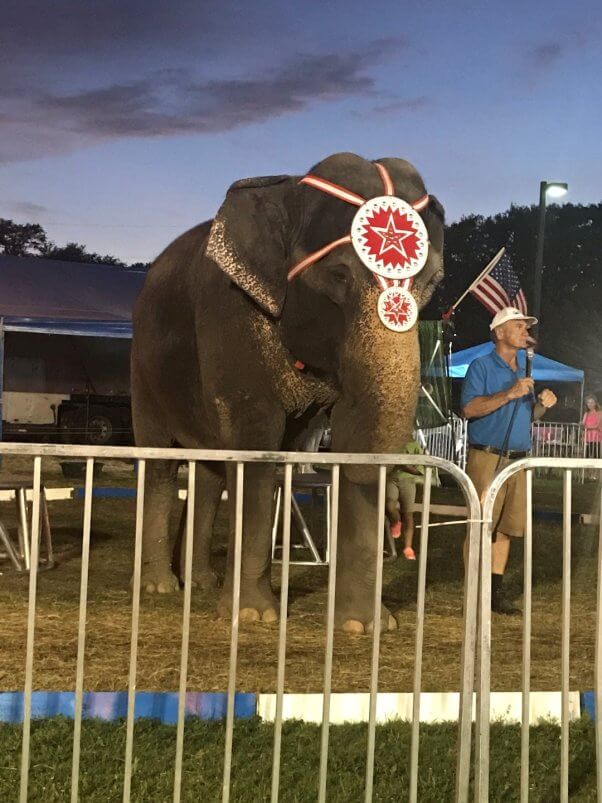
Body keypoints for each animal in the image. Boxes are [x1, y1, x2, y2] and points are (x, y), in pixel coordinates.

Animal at [130, 151, 440, 636]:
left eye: (431, 282)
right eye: (339, 275)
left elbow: (351, 431)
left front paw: (365, 627)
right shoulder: (231, 316)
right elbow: (256, 440)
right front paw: (252, 616)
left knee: (211, 473)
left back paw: (199, 582)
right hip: (144, 369)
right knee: (160, 463)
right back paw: (160, 586)